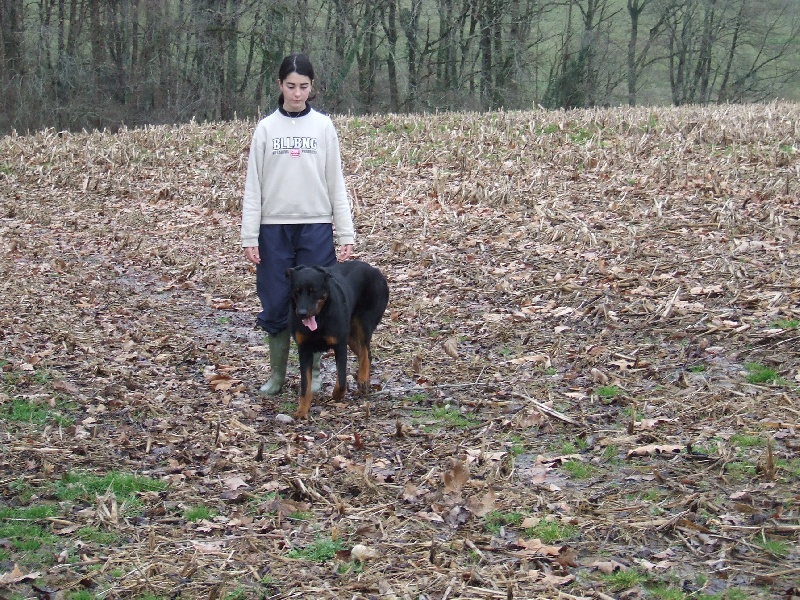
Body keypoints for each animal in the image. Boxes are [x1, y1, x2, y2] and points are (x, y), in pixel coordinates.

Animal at [286, 260, 390, 420]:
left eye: (313, 290)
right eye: (297, 291)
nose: (301, 313)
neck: (320, 318)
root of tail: (374, 269)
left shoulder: (340, 345)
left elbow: (341, 380)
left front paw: (337, 395)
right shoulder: (304, 349)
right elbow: (305, 384)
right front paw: (302, 410)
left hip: (364, 323)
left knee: (365, 353)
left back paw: (362, 380)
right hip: (351, 335)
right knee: (366, 354)